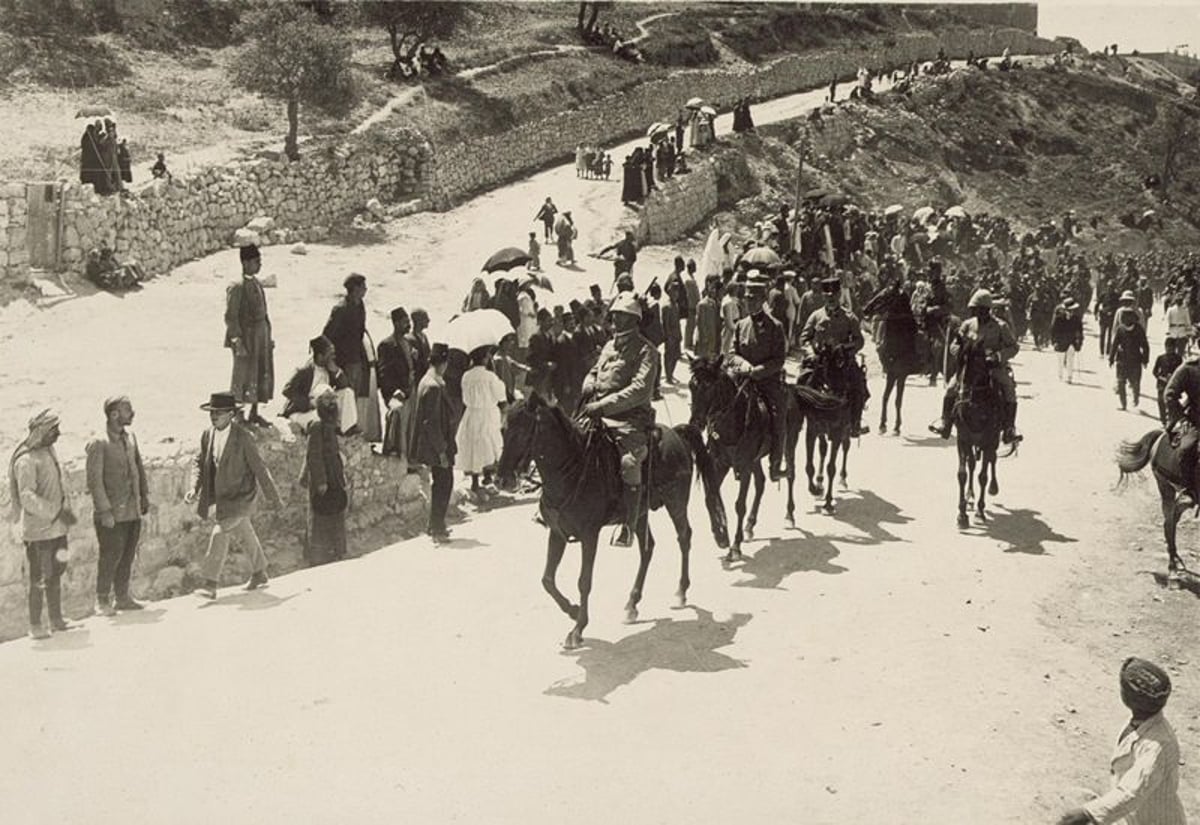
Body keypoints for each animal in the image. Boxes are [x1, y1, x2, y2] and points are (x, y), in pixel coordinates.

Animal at [494, 395, 724, 652]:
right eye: (502, 430)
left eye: (523, 430)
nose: (502, 480)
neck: (572, 469)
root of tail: (675, 433)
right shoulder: (557, 533)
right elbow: (547, 580)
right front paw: (572, 611)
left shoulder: (589, 535)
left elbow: (584, 581)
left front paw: (577, 629)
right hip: (639, 514)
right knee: (647, 549)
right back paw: (632, 604)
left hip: (676, 502)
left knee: (684, 537)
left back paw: (680, 592)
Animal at [686, 357, 844, 563]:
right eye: (691, 385)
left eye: (709, 386)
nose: (695, 423)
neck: (732, 424)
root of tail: (793, 390)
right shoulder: (720, 464)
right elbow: (710, 497)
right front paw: (720, 536)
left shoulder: (744, 467)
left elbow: (739, 505)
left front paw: (735, 547)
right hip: (756, 459)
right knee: (760, 483)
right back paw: (750, 525)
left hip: (789, 442)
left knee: (790, 474)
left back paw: (789, 514)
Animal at [950, 340, 1008, 527]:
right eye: (958, 365)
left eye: (976, 368)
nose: (961, 398)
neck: (976, 406)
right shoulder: (963, 440)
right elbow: (962, 474)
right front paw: (961, 515)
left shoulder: (989, 440)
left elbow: (983, 476)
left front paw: (980, 512)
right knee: (971, 464)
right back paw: (970, 497)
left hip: (994, 440)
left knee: (992, 460)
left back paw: (993, 487)